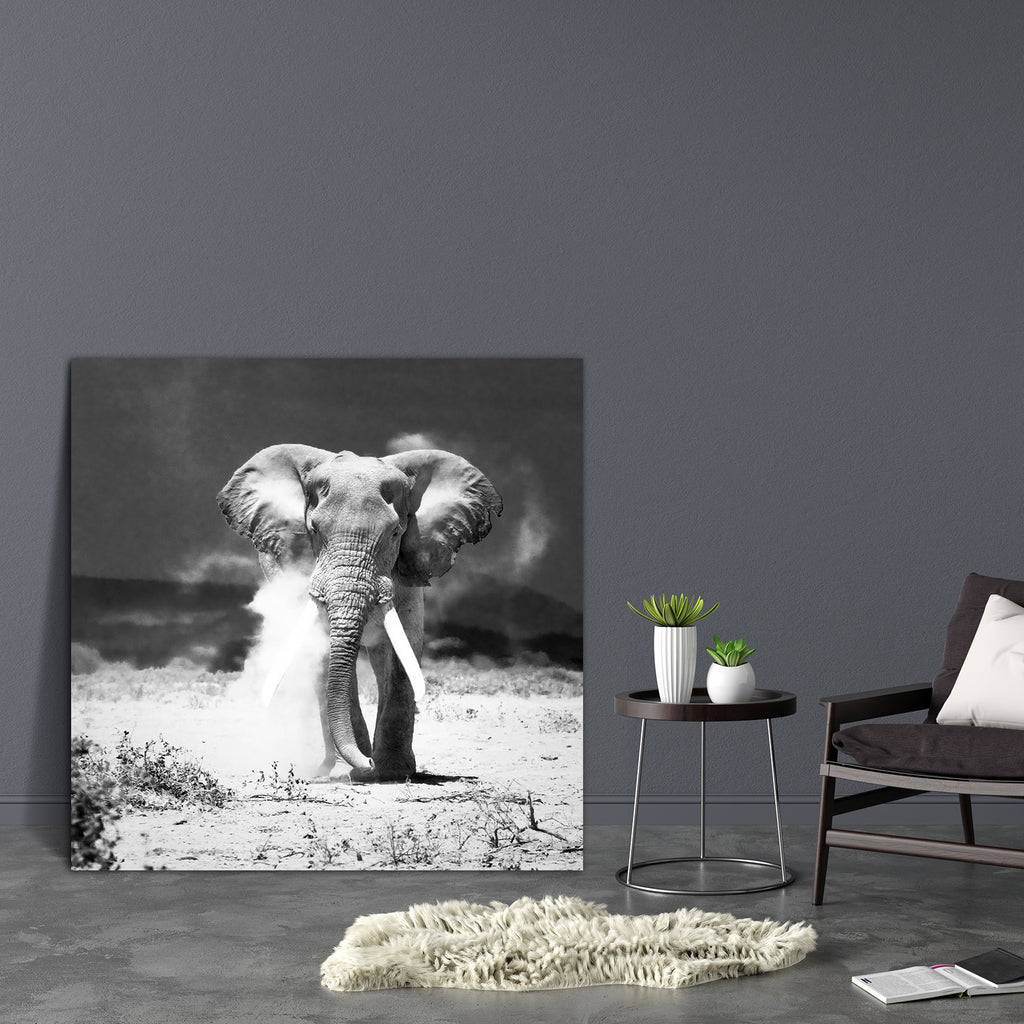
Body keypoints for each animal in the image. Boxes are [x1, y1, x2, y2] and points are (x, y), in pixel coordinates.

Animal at [217, 445, 502, 783]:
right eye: (314, 530)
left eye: (395, 533)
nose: (367, 764)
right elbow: (324, 652)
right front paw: (354, 770)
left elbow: (403, 649)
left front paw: (391, 772)